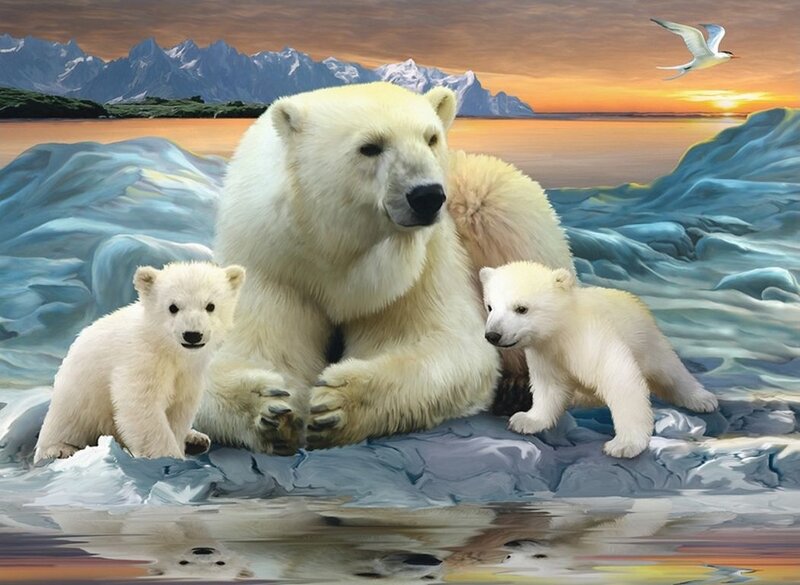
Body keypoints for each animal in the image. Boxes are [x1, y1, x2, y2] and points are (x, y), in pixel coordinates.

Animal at [34, 262, 245, 463]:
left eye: (210, 306)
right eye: (173, 307)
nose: (192, 335)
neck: (168, 347)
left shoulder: (189, 372)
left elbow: (179, 408)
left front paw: (181, 443)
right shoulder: (141, 358)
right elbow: (141, 406)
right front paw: (170, 457)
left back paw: (196, 439)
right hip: (77, 398)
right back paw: (60, 448)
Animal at [194, 82, 574, 454]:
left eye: (430, 137)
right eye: (370, 147)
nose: (427, 196)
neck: (334, 250)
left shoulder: (417, 270)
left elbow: (441, 343)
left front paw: (337, 404)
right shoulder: (273, 263)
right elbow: (255, 351)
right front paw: (269, 409)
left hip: (489, 199)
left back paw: (518, 387)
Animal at [479, 261, 719, 458]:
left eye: (521, 308)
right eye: (490, 306)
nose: (493, 335)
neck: (563, 328)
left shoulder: (591, 339)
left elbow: (620, 380)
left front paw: (624, 445)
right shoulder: (546, 354)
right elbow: (549, 387)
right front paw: (526, 420)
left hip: (648, 340)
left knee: (670, 371)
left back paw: (703, 399)